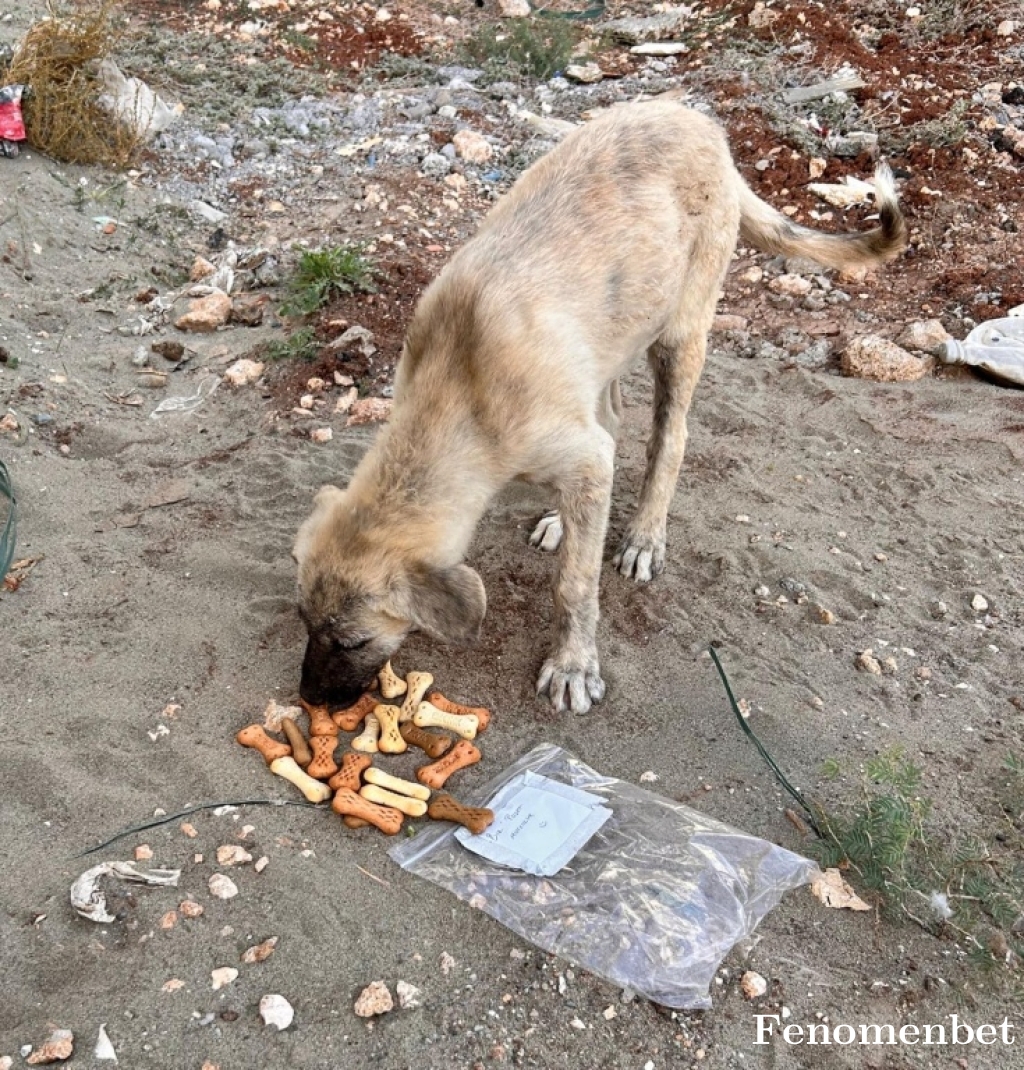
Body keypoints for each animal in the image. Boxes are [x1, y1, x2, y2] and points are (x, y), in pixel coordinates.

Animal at [291, 100, 907, 714]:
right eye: (303, 620)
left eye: (352, 641)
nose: (309, 700)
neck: (456, 391)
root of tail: (699, 119)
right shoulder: (578, 445)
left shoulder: (579, 453)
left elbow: (574, 583)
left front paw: (573, 665)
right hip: (614, 337)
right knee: (612, 420)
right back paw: (564, 519)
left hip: (682, 331)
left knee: (670, 438)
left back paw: (644, 536)